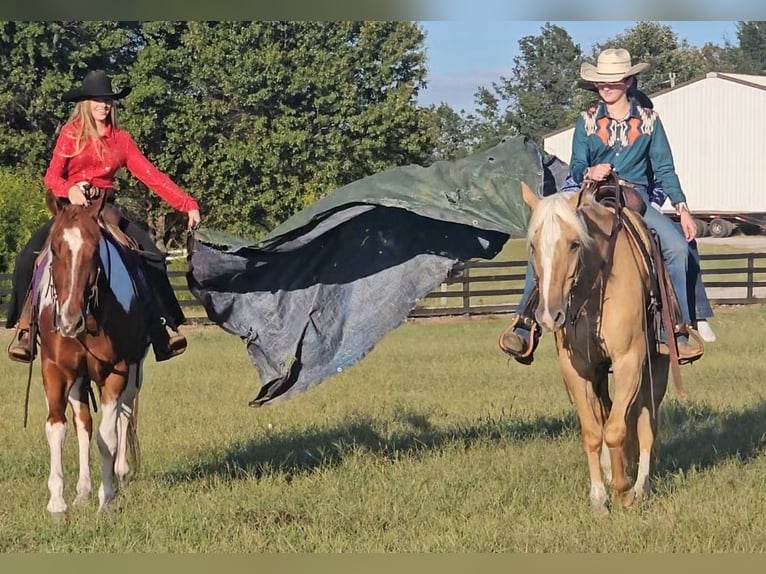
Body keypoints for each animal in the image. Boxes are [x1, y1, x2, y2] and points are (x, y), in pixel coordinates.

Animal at [33, 190, 150, 519]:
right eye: (55, 249)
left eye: (95, 250)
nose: (69, 321)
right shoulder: (55, 369)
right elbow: (57, 429)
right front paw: (57, 502)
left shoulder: (116, 371)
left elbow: (106, 436)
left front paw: (106, 497)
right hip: (78, 378)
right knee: (82, 423)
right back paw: (82, 490)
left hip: (133, 371)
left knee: (123, 415)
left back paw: (119, 474)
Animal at [519, 180, 671, 515]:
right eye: (533, 246)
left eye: (575, 244)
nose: (549, 315)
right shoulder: (576, 368)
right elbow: (593, 432)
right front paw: (599, 497)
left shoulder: (630, 361)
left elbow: (617, 429)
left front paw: (623, 490)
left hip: (657, 368)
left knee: (646, 423)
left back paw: (640, 487)